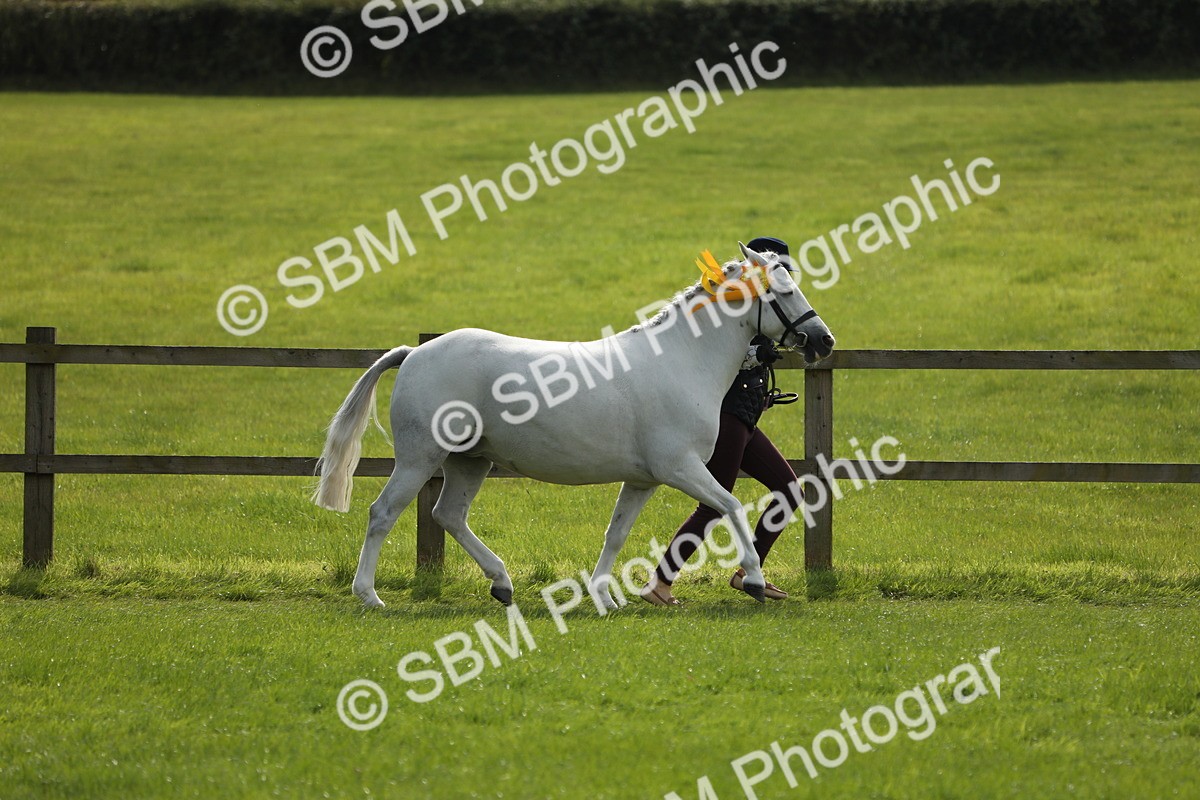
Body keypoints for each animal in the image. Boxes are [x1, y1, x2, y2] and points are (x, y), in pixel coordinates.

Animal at [313, 242, 835, 609]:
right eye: (785, 291)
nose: (823, 340)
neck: (681, 362)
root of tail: (415, 352)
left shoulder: (644, 479)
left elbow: (616, 534)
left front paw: (603, 596)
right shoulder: (680, 468)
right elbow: (731, 506)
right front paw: (754, 580)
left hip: (470, 461)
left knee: (449, 515)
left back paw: (502, 584)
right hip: (420, 457)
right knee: (383, 513)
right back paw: (369, 595)